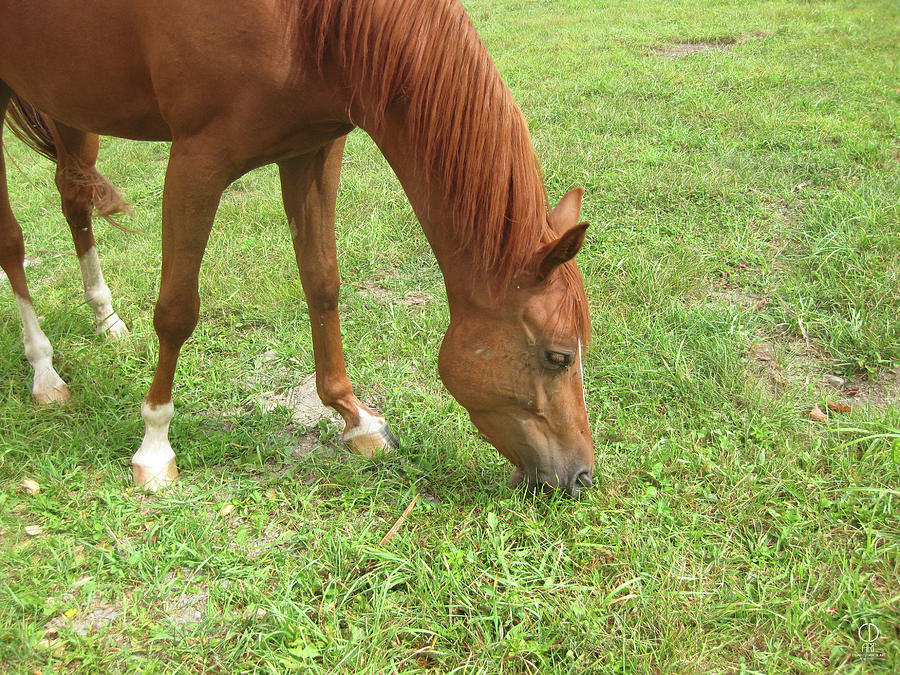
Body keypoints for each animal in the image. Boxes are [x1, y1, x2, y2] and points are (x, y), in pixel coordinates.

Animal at [1, 0, 596, 496]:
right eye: (559, 356)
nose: (581, 476)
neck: (306, 22)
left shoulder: (312, 149)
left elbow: (323, 283)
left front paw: (357, 419)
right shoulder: (196, 162)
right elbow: (176, 311)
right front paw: (155, 446)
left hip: (68, 101)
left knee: (74, 199)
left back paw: (105, 318)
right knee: (13, 241)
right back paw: (44, 372)